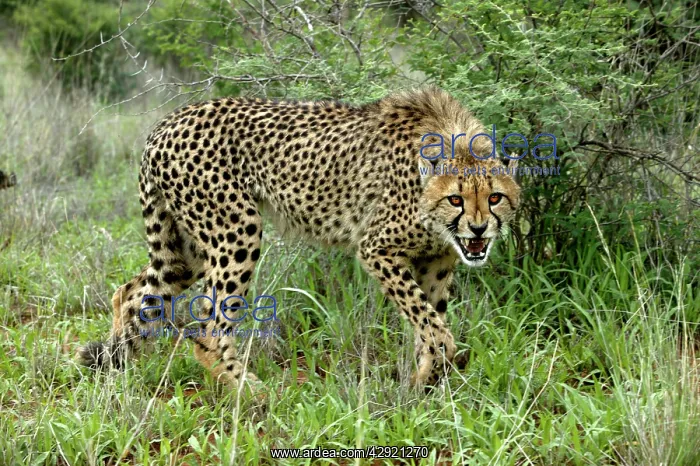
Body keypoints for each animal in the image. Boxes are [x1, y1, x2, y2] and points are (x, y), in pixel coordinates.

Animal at [77, 86, 520, 389]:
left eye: (495, 198)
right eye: (456, 199)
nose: (478, 229)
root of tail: (167, 122)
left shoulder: (437, 260)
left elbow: (429, 322)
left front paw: (425, 383)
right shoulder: (376, 249)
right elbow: (433, 324)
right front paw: (430, 374)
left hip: (187, 252)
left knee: (130, 293)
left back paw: (120, 368)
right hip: (237, 231)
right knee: (208, 330)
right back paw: (251, 392)